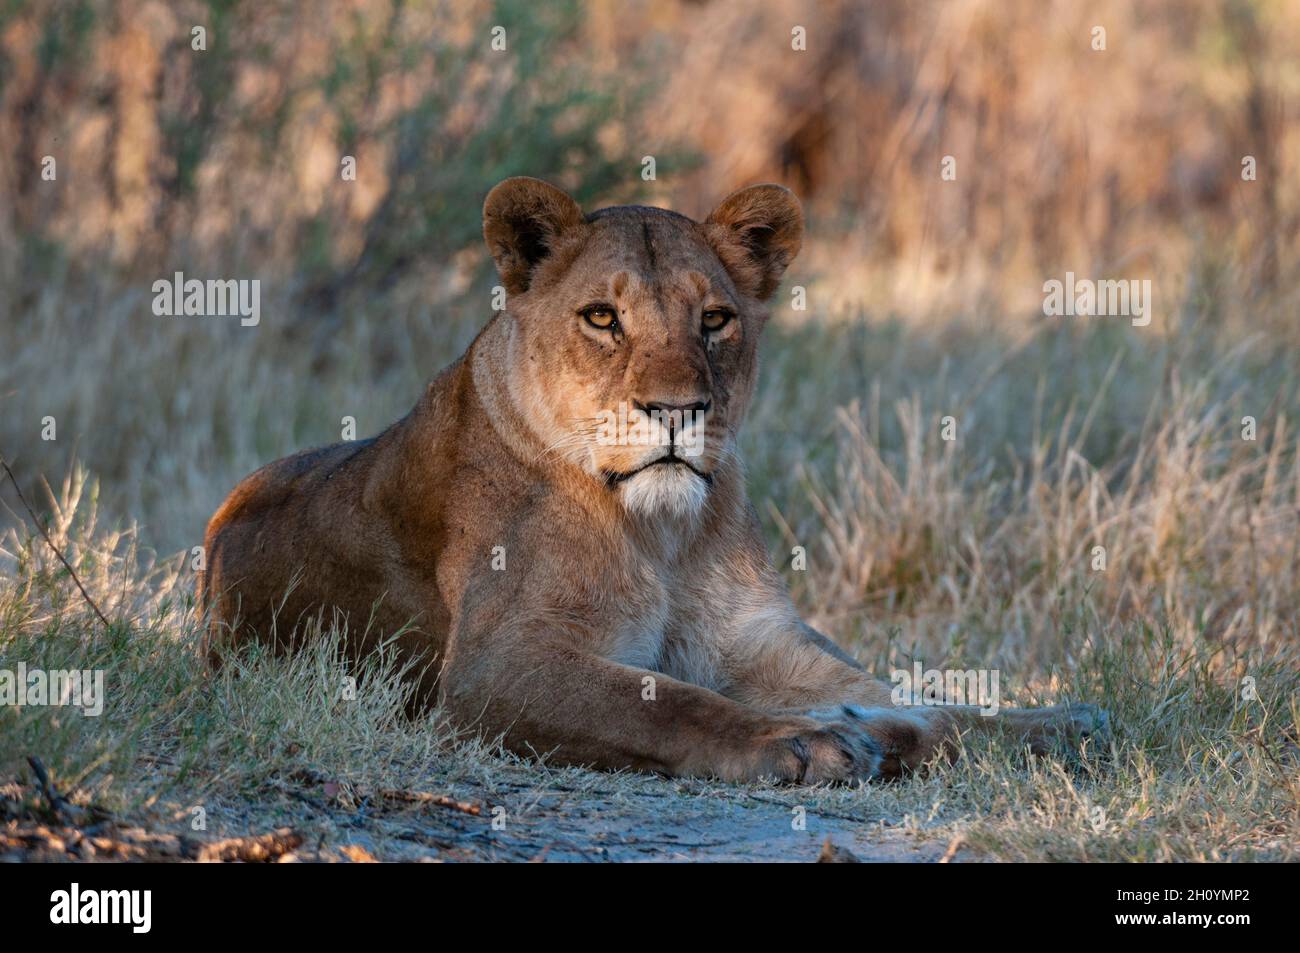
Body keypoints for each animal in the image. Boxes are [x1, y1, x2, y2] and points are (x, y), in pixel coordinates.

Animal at [201, 177, 1108, 783]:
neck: (665, 532)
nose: (678, 410)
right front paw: (795, 741)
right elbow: (663, 701)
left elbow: (927, 698)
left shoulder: (761, 640)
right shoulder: (494, 669)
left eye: (716, 319)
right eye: (604, 317)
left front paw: (1053, 721)